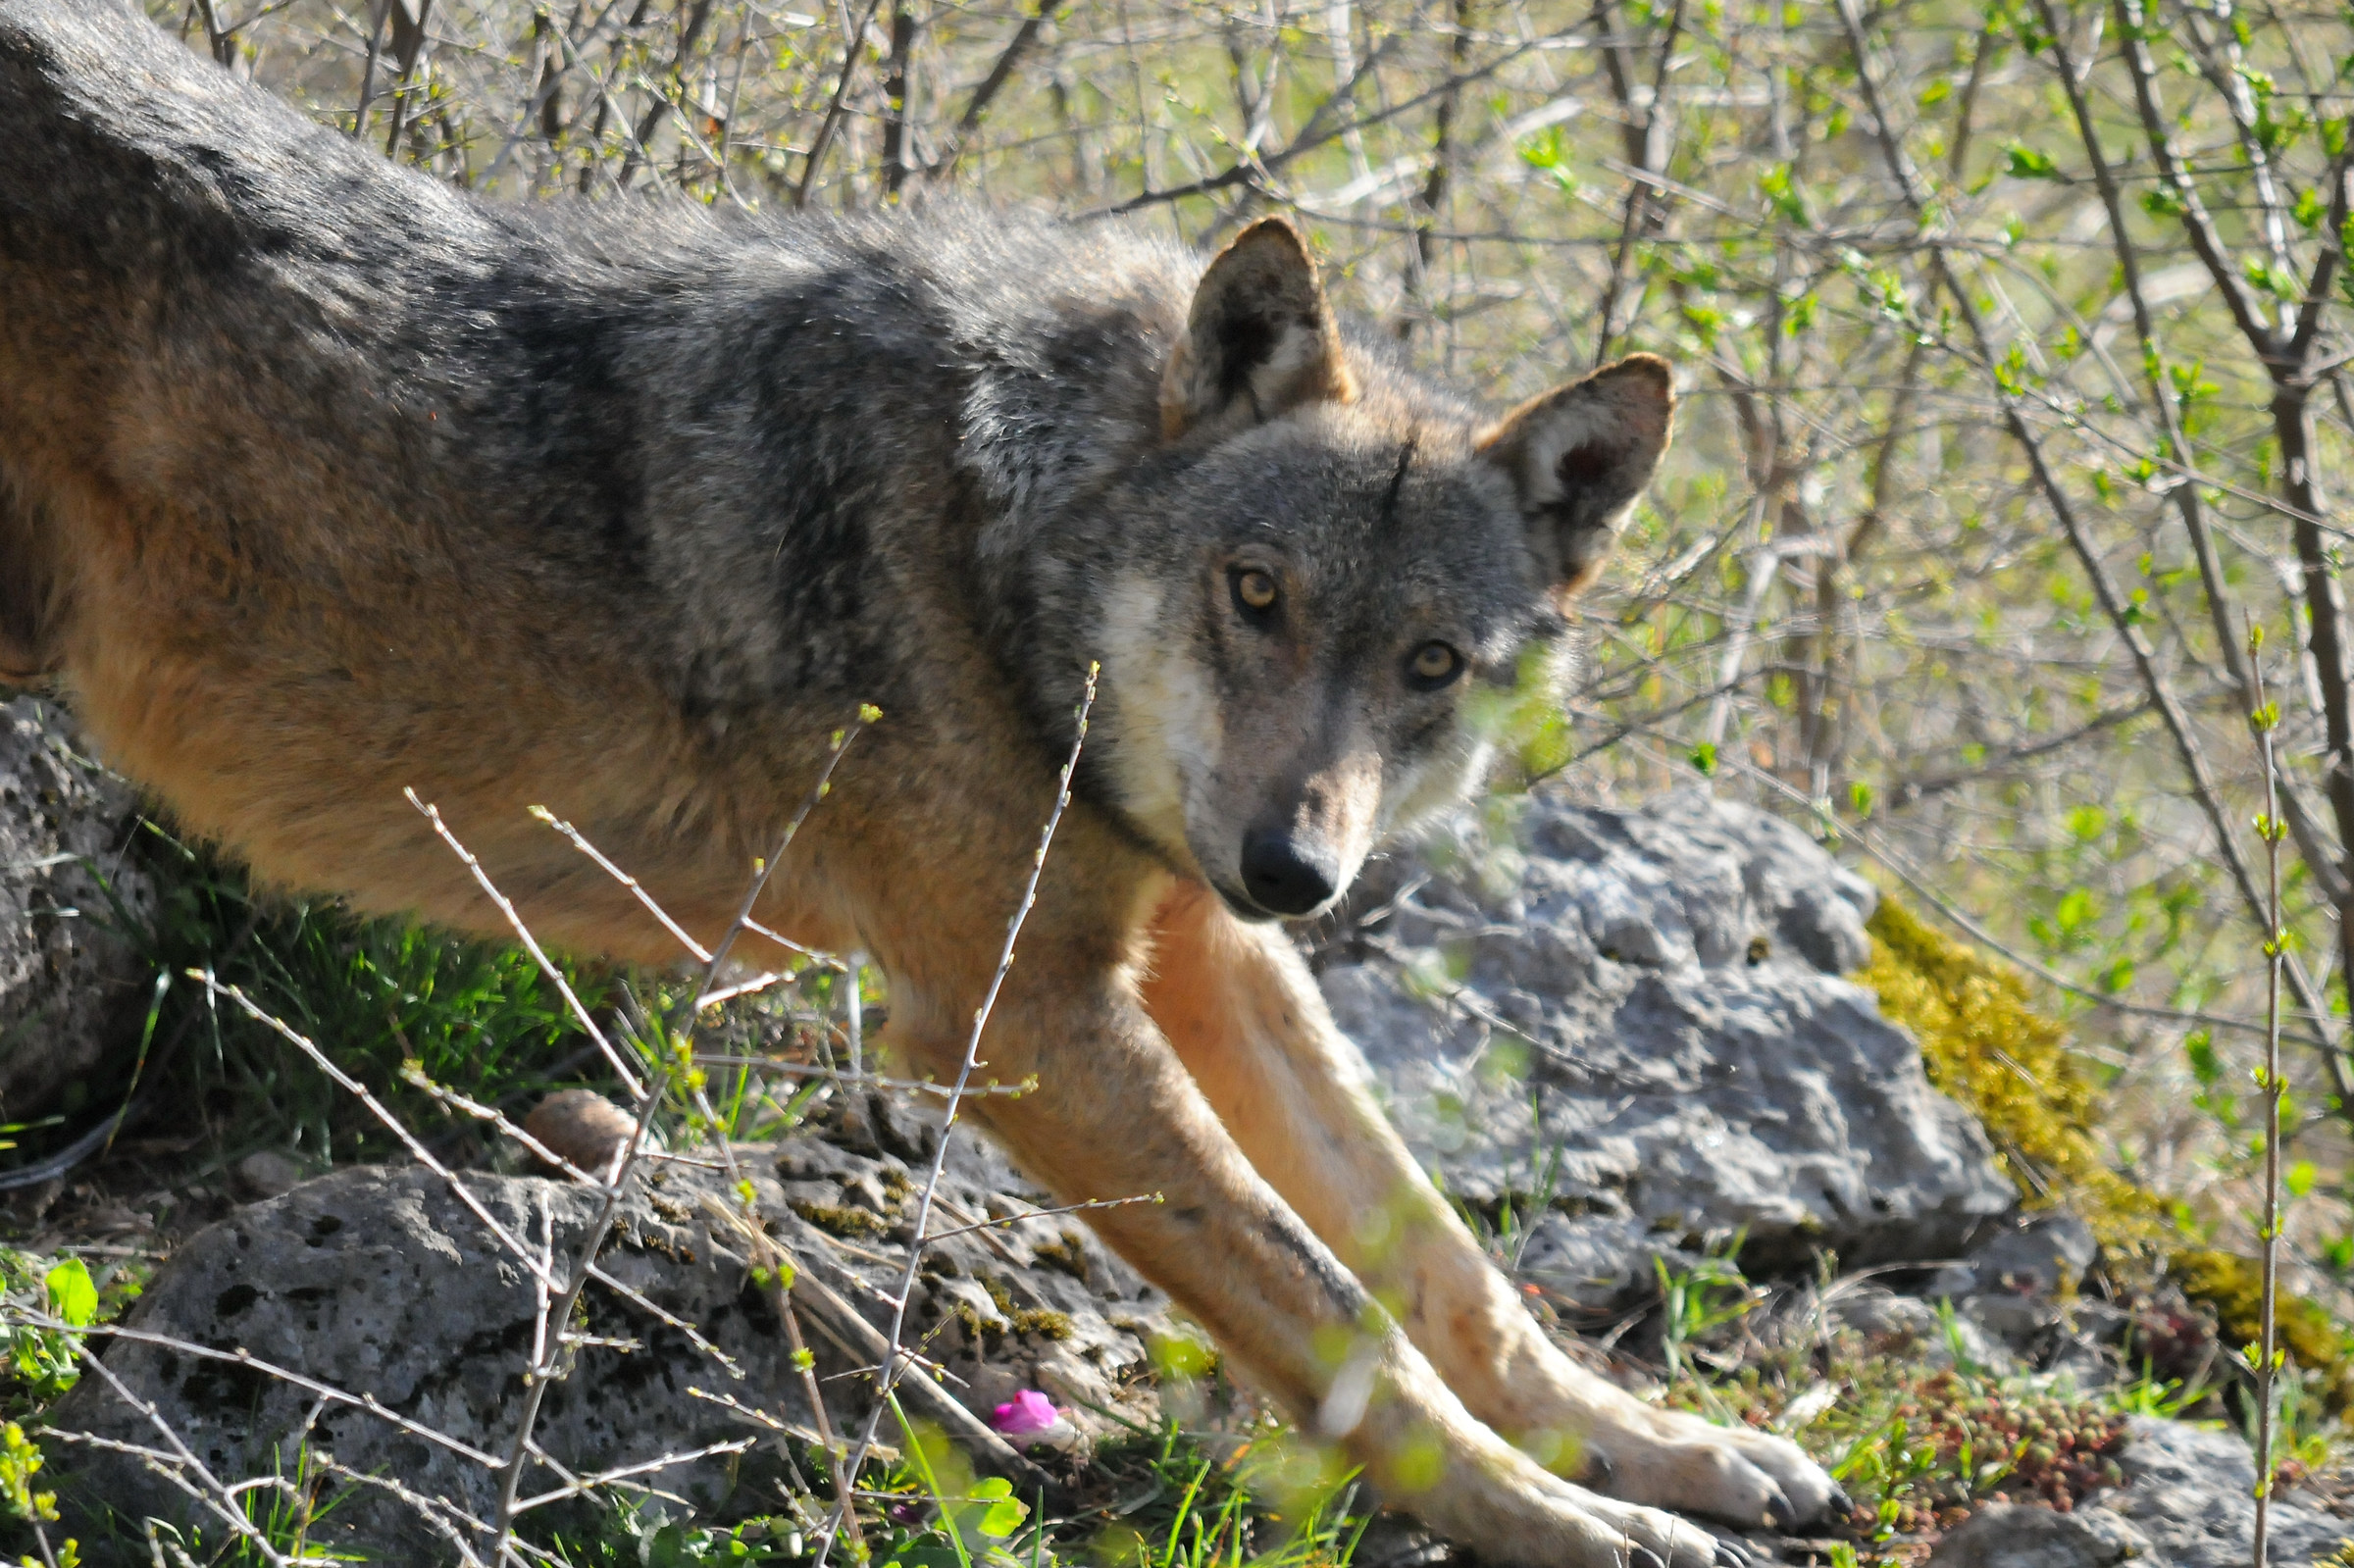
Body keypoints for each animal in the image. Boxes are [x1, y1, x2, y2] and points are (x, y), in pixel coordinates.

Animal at [0, 4, 1841, 1562]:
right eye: (1257, 591)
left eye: (1432, 663)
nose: (1297, 868)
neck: (994, 538)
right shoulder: (1022, 1017)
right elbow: (1340, 1307)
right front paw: (1566, 1518)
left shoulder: (1199, 946)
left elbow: (1449, 1261)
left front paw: (1655, 1446)